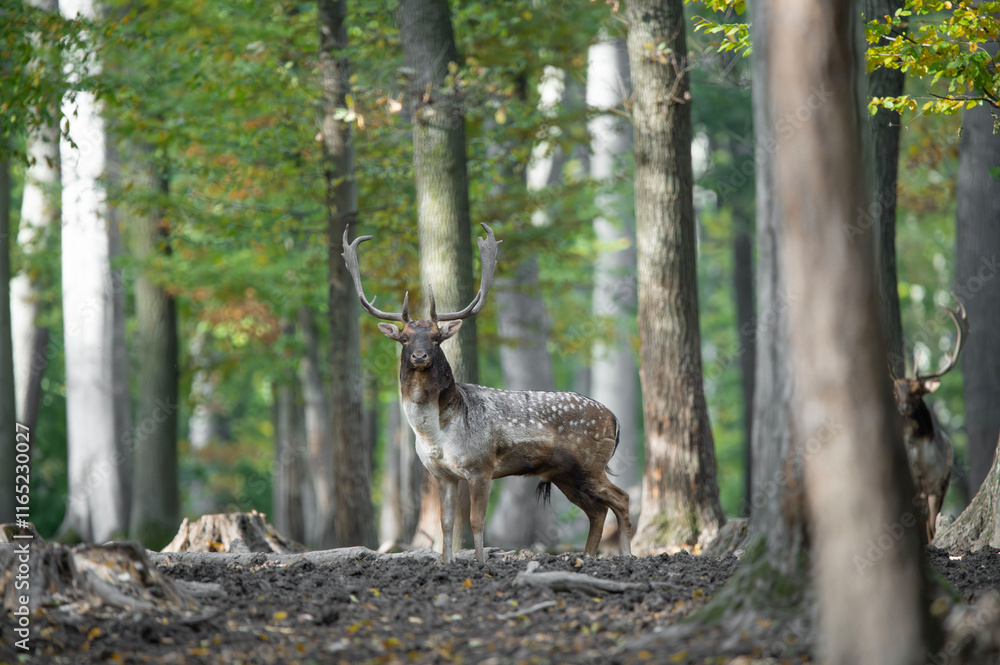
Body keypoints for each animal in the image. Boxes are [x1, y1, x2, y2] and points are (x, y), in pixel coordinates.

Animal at [342, 222, 633, 564]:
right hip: (565, 473)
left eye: (437, 337)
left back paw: (626, 555)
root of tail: (614, 419)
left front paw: (480, 564)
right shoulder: (440, 474)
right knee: (597, 510)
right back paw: (586, 557)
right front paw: (446, 563)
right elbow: (446, 524)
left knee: (622, 499)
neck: (436, 433)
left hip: (589, 464)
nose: (419, 356)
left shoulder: (480, 465)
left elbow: (476, 522)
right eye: (404, 338)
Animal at [890, 299, 966, 543]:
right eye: (895, 393)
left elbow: (931, 524)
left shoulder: (940, 483)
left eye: (916, 392)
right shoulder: (916, 482)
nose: (902, 408)